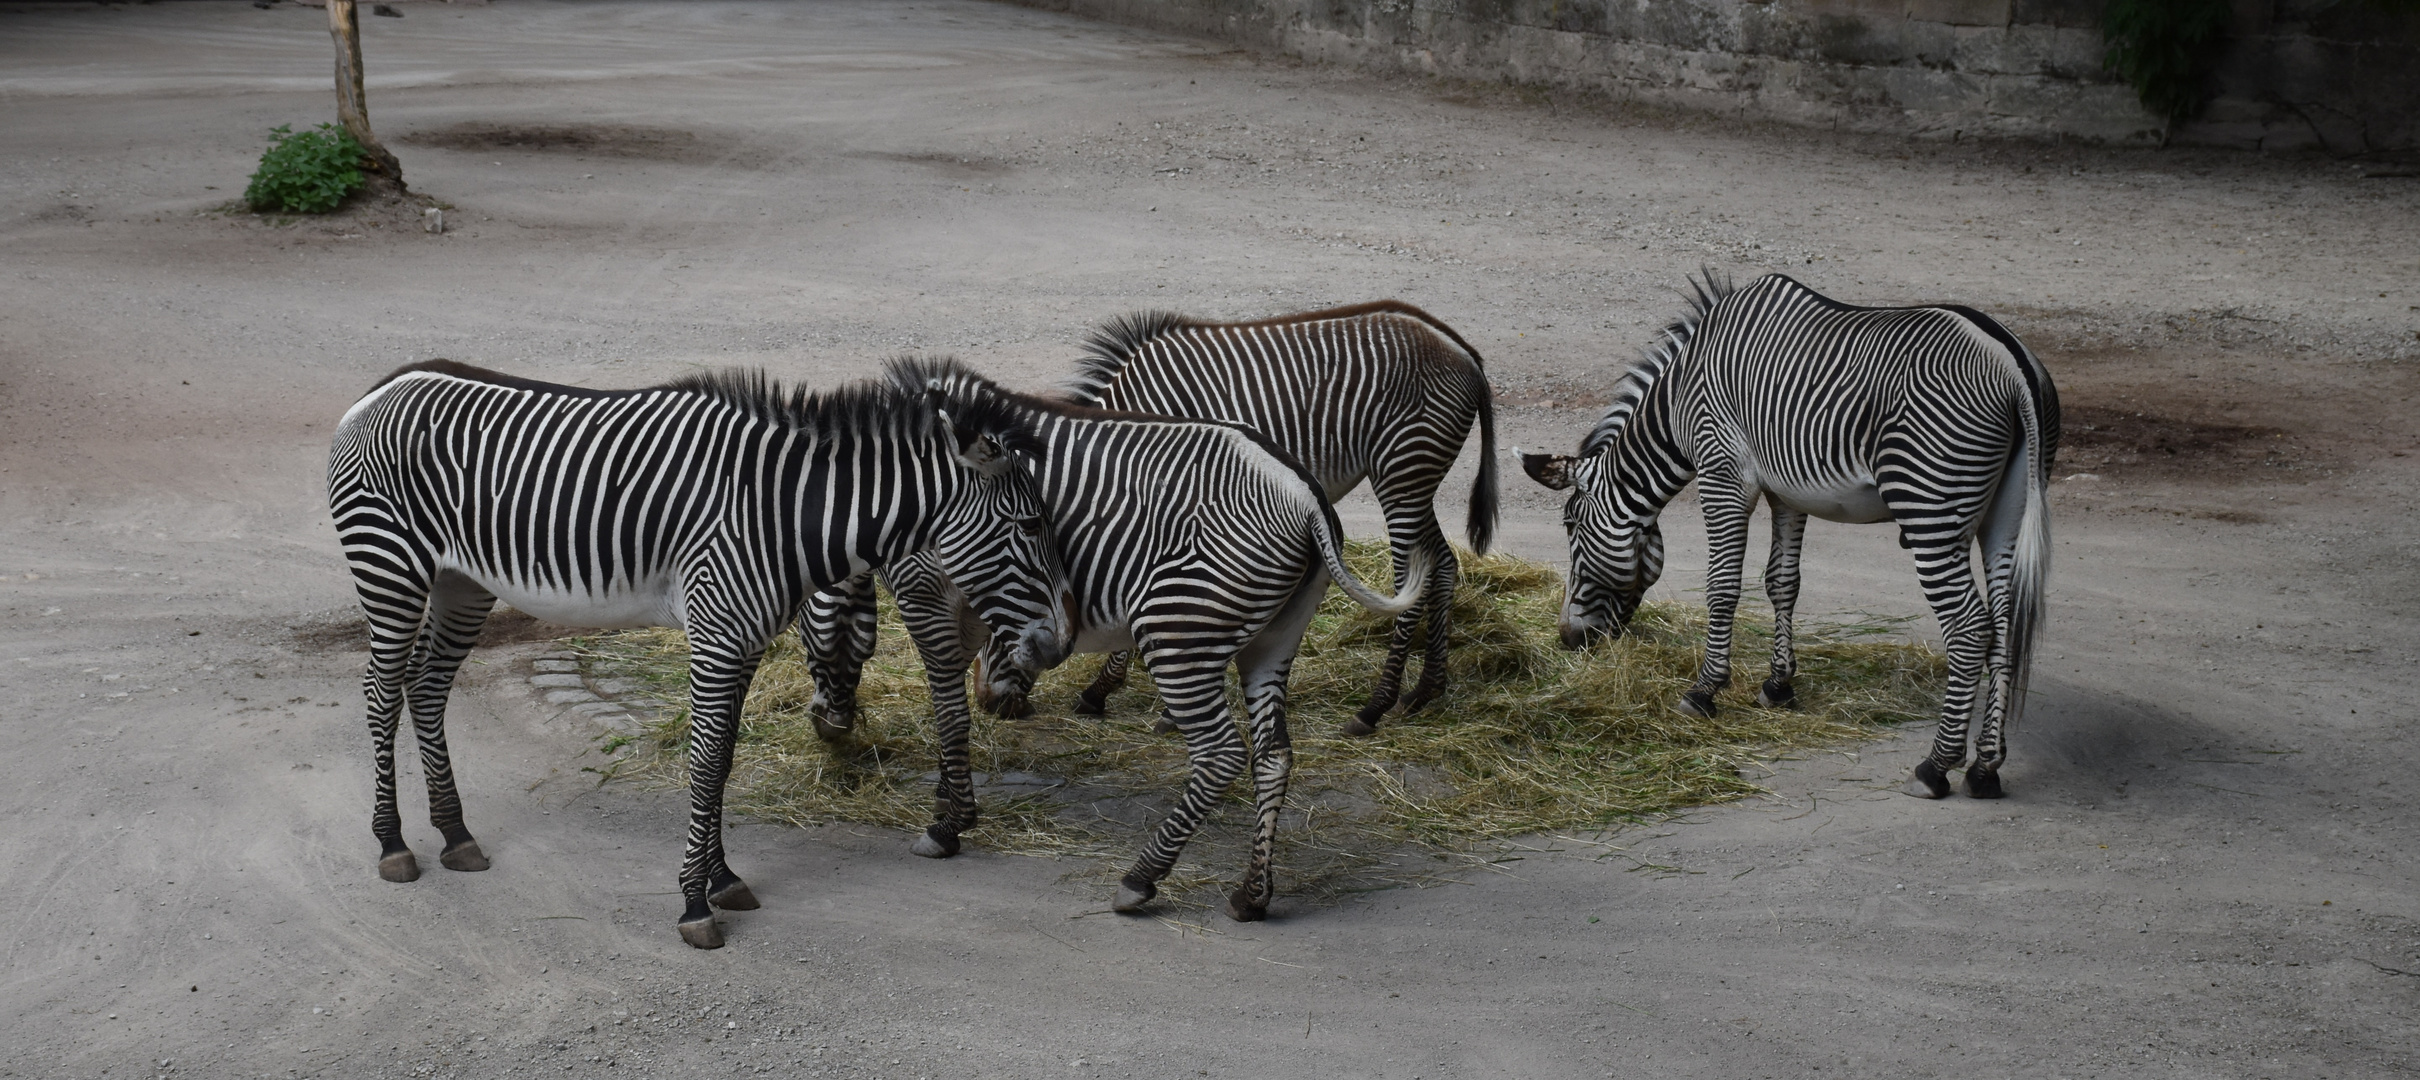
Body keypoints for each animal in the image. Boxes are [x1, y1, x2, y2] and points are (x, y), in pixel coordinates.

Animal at [329, 353, 1069, 944]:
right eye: (1031, 524)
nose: (1059, 645)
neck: (779, 510)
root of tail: (383, 387)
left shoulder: (740, 641)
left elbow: (724, 761)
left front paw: (722, 879)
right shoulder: (716, 634)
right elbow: (707, 761)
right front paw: (693, 903)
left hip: (462, 583)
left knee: (426, 688)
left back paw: (456, 836)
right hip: (390, 567)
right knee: (380, 692)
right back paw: (393, 844)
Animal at [803, 385, 1422, 920]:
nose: (827, 730)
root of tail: (1307, 496)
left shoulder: (927, 592)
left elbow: (948, 711)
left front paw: (947, 824)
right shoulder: (978, 606)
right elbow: (965, 695)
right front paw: (947, 797)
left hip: (1177, 629)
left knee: (1222, 753)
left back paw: (1140, 879)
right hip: (1271, 640)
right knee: (1273, 757)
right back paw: (1251, 894)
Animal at [1055, 301, 1490, 736]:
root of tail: (1463, 351)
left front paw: (1109, 692)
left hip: (1403, 471)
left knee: (1409, 584)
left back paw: (1373, 708)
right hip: (1415, 479)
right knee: (1442, 563)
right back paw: (1424, 692)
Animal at [1519, 276, 2052, 803]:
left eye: (1570, 526)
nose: (1568, 639)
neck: (1680, 393)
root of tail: (2014, 366)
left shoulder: (1723, 477)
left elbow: (1723, 586)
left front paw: (1703, 691)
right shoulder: (1787, 494)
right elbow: (1782, 583)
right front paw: (1777, 686)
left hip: (1930, 507)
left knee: (1970, 627)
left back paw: (1936, 766)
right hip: (2006, 512)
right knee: (2003, 625)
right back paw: (1985, 768)